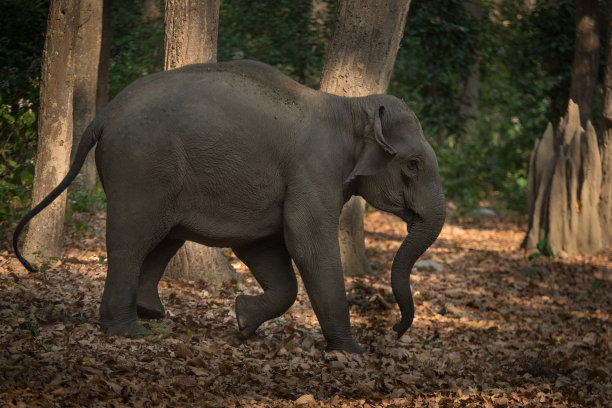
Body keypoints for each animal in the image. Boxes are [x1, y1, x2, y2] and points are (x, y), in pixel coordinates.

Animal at [13, 58, 444, 354]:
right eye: (413, 164)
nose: (394, 331)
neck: (351, 107)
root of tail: (105, 115)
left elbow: (264, 246)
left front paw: (242, 319)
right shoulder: (313, 170)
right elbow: (306, 242)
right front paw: (350, 353)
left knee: (163, 237)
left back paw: (151, 313)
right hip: (140, 165)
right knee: (132, 240)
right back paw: (127, 329)